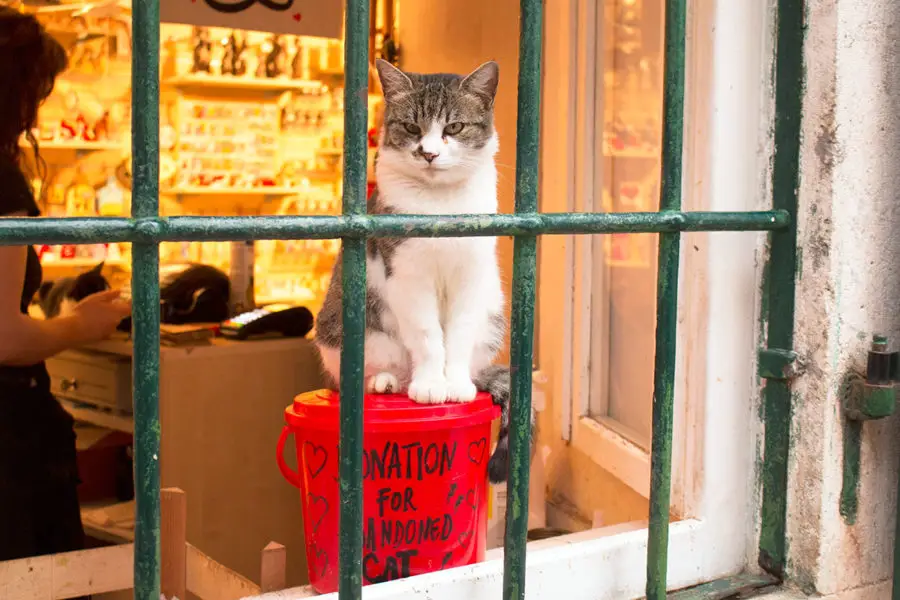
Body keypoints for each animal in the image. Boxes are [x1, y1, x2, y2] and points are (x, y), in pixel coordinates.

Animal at [312, 59, 532, 482]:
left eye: (454, 127)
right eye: (412, 127)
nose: (428, 153)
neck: (440, 205)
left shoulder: (472, 277)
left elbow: (458, 334)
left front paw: (454, 384)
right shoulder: (407, 275)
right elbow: (429, 335)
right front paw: (431, 385)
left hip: (493, 312)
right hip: (345, 329)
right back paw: (387, 381)